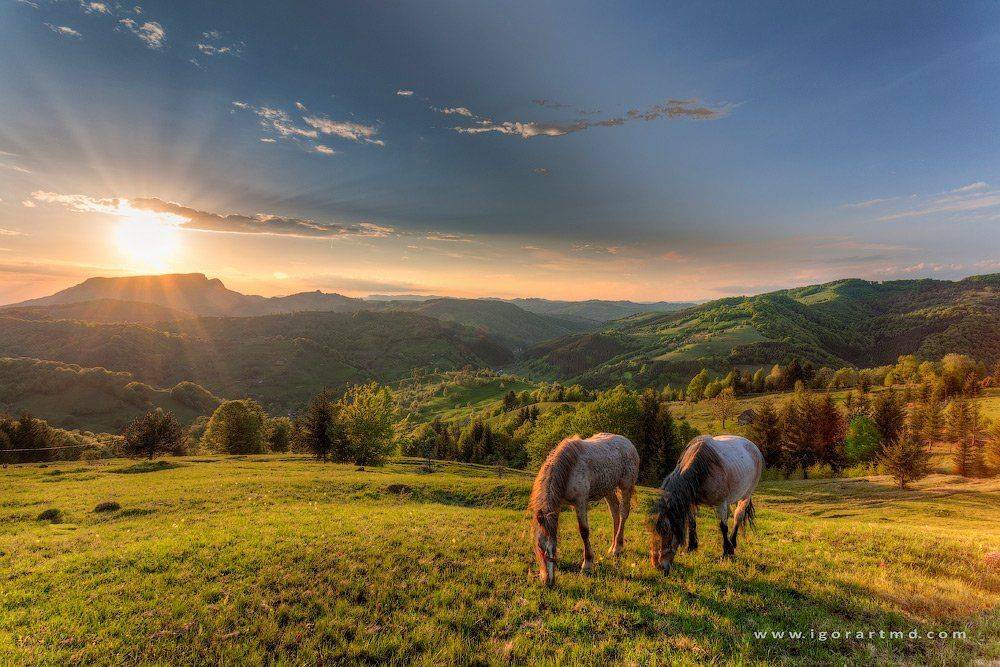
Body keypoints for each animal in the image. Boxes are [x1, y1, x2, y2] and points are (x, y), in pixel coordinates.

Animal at [529, 433, 639, 587]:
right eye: (539, 546)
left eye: (553, 548)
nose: (548, 581)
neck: (569, 468)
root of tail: (628, 442)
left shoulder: (580, 502)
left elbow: (584, 532)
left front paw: (587, 563)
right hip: (608, 489)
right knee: (614, 512)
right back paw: (612, 546)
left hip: (626, 487)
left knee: (623, 513)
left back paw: (617, 548)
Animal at [649, 435, 763, 574]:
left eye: (667, 533)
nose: (658, 566)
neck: (702, 469)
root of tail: (752, 446)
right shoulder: (691, 501)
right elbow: (692, 523)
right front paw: (691, 547)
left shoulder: (720, 504)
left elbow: (723, 527)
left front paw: (727, 552)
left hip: (745, 497)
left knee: (738, 517)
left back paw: (733, 542)